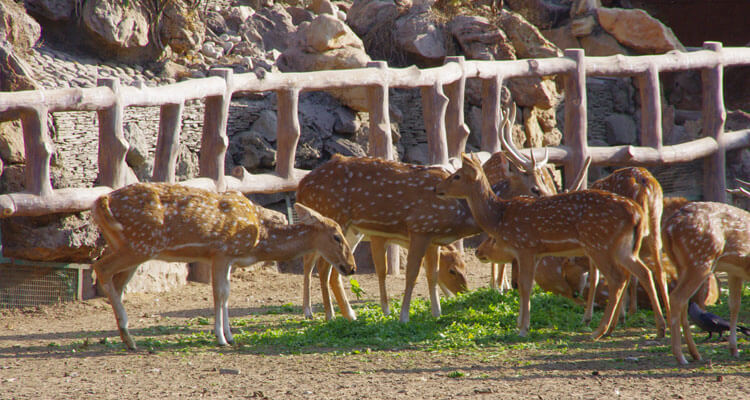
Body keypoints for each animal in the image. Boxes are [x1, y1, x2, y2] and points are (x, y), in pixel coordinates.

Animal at [90, 183, 356, 348]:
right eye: (337, 236)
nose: (351, 267)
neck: (259, 240)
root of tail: (100, 202)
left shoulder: (228, 259)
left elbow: (227, 293)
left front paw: (230, 334)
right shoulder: (221, 252)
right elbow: (220, 293)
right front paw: (220, 338)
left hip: (127, 246)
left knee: (116, 282)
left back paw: (128, 338)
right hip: (139, 244)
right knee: (101, 268)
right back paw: (128, 335)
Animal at [296, 155, 478, 324]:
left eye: (465, 267)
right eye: (452, 271)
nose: (465, 292)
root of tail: (300, 187)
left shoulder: (432, 240)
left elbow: (432, 273)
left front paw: (437, 313)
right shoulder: (418, 228)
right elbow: (406, 273)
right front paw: (399, 315)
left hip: (349, 232)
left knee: (332, 269)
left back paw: (349, 315)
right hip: (333, 218)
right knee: (319, 267)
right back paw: (326, 315)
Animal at [438, 153, 668, 338]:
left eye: (457, 175)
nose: (438, 189)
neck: (499, 217)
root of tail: (637, 213)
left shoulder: (525, 246)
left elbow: (525, 286)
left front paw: (523, 329)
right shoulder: (535, 253)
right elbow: (526, 286)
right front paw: (521, 325)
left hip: (599, 244)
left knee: (618, 278)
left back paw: (599, 330)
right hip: (623, 247)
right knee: (643, 271)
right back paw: (657, 328)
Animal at [668, 180, 750, 364]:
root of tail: (669, 228)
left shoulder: (735, 271)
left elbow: (734, 305)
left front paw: (734, 349)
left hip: (681, 264)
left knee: (684, 302)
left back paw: (695, 354)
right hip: (701, 260)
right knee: (677, 298)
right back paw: (680, 356)